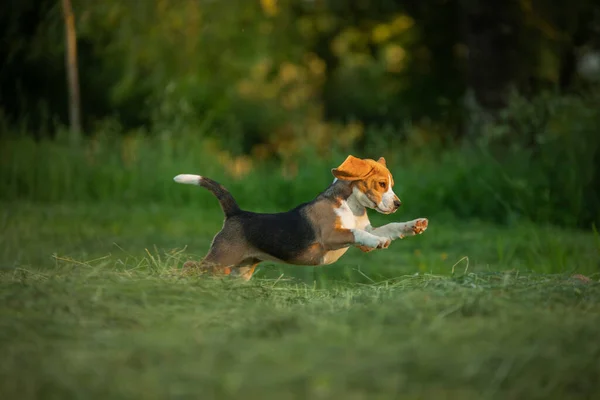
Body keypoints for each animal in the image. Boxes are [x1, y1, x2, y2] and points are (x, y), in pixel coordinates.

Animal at [173, 155, 426, 280]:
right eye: (382, 184)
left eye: (391, 184)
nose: (398, 204)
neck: (352, 205)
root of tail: (236, 213)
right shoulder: (331, 235)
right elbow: (357, 232)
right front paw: (378, 241)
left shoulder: (364, 232)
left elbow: (388, 226)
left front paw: (413, 225)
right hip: (221, 260)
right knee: (189, 265)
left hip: (238, 269)